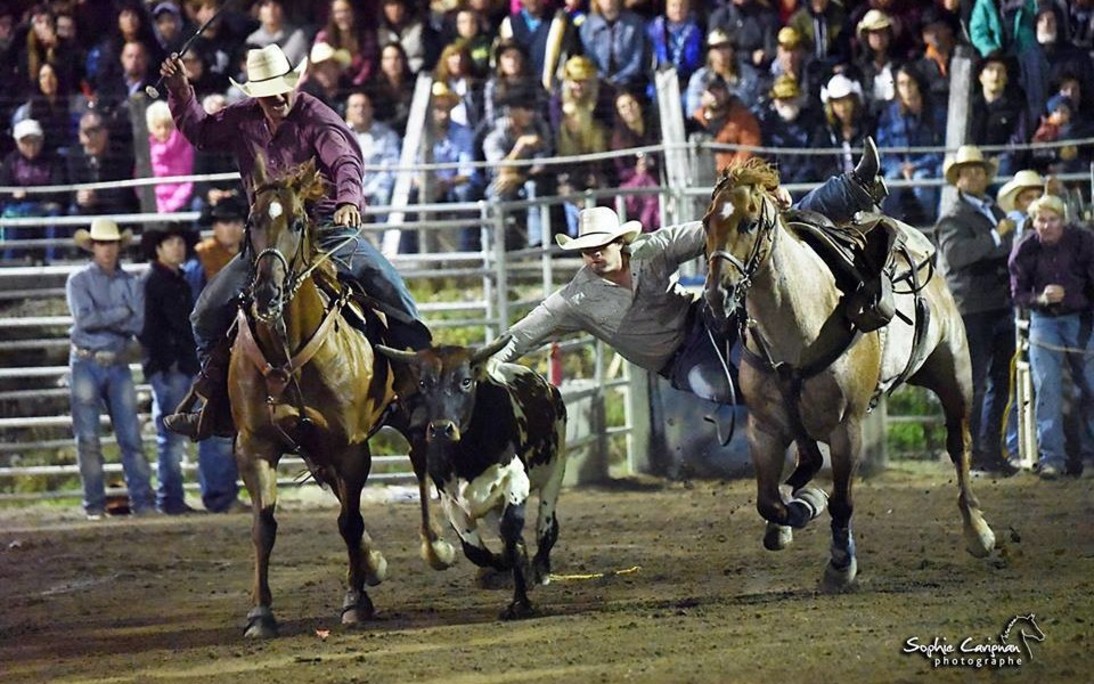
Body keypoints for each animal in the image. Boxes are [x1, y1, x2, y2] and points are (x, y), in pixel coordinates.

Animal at [230, 157, 452, 639]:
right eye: (251, 222)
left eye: (297, 223)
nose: (267, 293)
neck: (289, 351)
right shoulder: (255, 447)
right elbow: (263, 526)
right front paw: (260, 613)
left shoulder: (352, 448)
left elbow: (349, 521)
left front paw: (355, 601)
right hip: (314, 448)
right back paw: (374, 561)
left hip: (409, 417)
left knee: (422, 462)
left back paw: (437, 546)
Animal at [704, 157, 997, 590]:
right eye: (707, 222)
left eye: (750, 223)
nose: (716, 295)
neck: (799, 325)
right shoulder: (764, 428)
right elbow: (769, 502)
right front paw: (799, 509)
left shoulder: (848, 429)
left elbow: (842, 501)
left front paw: (841, 563)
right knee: (806, 460)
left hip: (954, 375)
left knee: (959, 446)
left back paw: (978, 530)